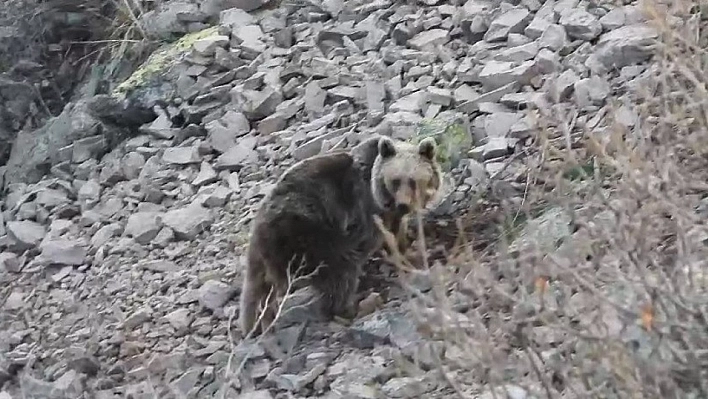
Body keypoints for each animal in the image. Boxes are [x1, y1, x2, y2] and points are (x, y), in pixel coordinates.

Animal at [242, 136, 442, 336]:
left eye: (413, 181)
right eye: (395, 181)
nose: (403, 205)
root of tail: (259, 230)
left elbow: (397, 232)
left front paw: (410, 251)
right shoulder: (365, 209)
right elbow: (380, 239)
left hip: (262, 256)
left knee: (255, 292)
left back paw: (254, 325)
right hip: (308, 236)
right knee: (339, 272)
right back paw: (348, 308)